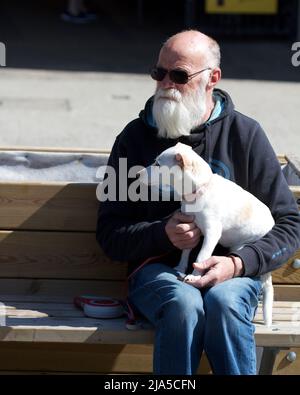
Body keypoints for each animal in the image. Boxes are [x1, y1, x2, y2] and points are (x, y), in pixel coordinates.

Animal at [138, 142, 274, 328]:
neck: (198, 190)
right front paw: (180, 268)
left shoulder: (211, 233)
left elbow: (201, 256)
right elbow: (186, 251)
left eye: (158, 164)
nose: (137, 174)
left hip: (244, 245)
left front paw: (194, 276)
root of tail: (271, 224)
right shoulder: (190, 226)